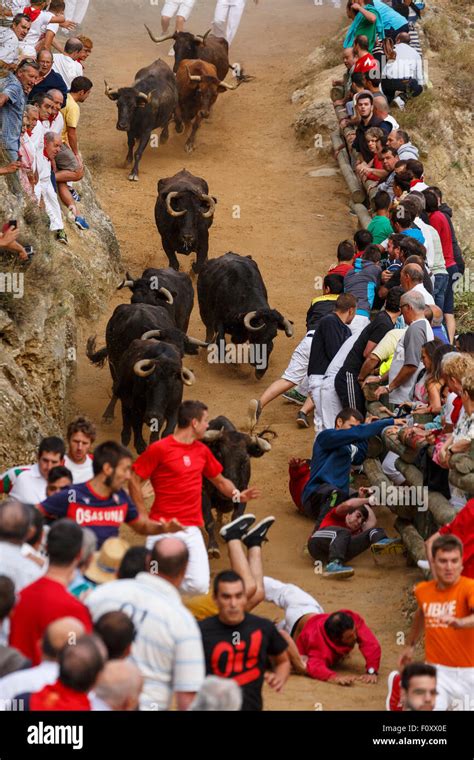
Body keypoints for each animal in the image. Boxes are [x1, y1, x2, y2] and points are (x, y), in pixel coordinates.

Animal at [201, 416, 274, 560]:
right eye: (219, 454)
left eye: (245, 459)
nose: (230, 487)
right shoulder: (204, 493)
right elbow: (209, 521)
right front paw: (213, 547)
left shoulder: (243, 493)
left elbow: (237, 517)